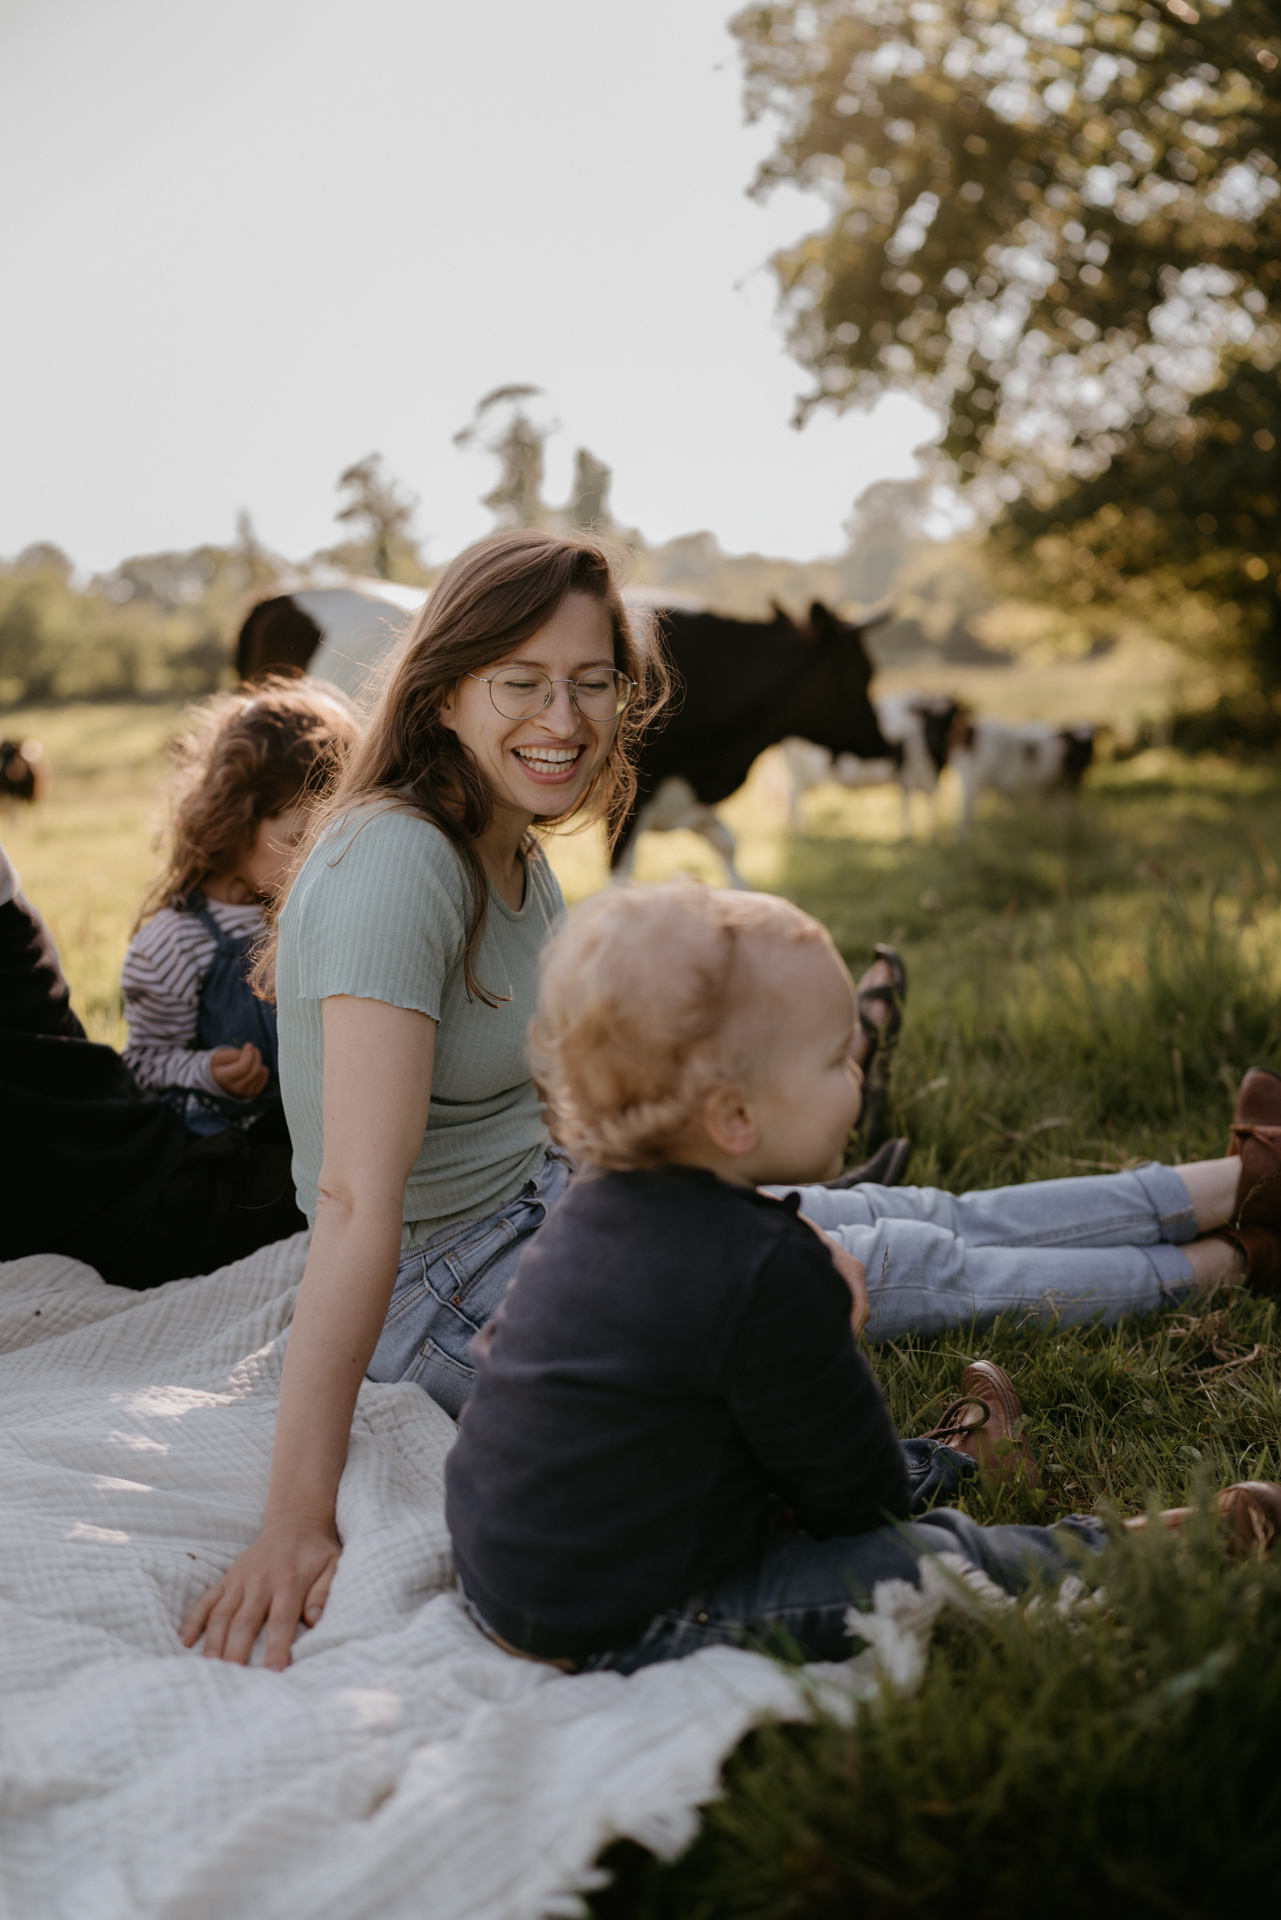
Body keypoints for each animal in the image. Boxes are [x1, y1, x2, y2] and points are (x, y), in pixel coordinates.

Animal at [948, 718, 1098, 829]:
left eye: (1091, 743)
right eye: (1079, 744)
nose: (1086, 759)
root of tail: (971, 732)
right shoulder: (1060, 789)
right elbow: (1060, 816)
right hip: (974, 784)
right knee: (967, 816)